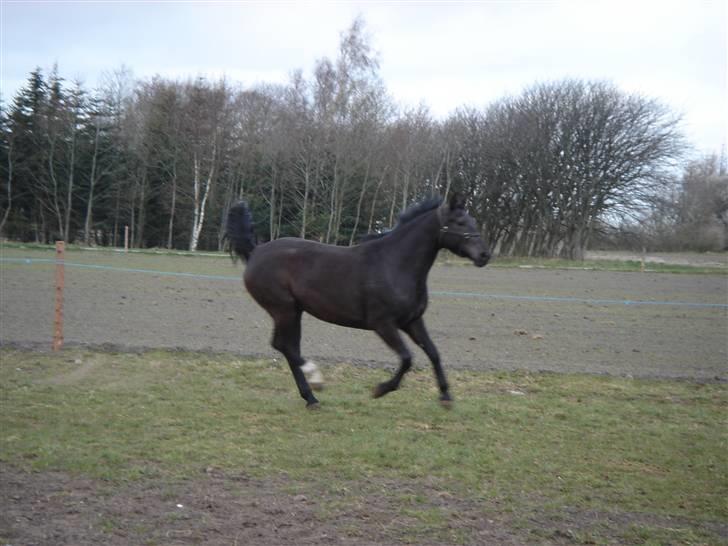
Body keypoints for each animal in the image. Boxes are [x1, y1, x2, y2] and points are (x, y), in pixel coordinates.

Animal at [228, 193, 490, 406]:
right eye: (459, 222)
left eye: (474, 222)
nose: (485, 255)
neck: (394, 264)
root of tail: (255, 252)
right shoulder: (383, 324)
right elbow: (407, 358)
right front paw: (381, 389)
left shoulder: (412, 321)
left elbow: (434, 353)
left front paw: (445, 397)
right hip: (284, 310)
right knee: (284, 346)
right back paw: (316, 382)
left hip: (294, 311)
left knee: (288, 347)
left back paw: (311, 397)